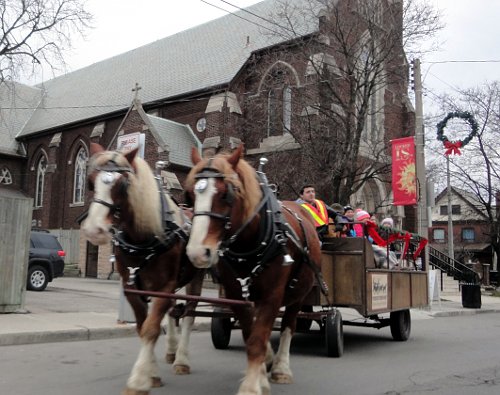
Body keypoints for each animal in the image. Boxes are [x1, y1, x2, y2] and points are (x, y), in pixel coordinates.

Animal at [81, 144, 204, 395]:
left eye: (122, 184)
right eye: (90, 182)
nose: (94, 230)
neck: (142, 238)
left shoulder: (164, 287)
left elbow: (151, 328)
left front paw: (139, 380)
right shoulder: (132, 288)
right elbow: (142, 326)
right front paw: (152, 374)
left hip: (195, 277)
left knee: (189, 314)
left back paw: (181, 359)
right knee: (173, 311)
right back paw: (171, 350)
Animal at [186, 146, 322, 395]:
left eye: (226, 195)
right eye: (190, 195)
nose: (197, 252)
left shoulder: (273, 295)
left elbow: (258, 338)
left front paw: (251, 386)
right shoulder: (235, 294)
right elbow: (251, 334)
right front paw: (261, 370)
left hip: (299, 293)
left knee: (289, 325)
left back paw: (281, 369)